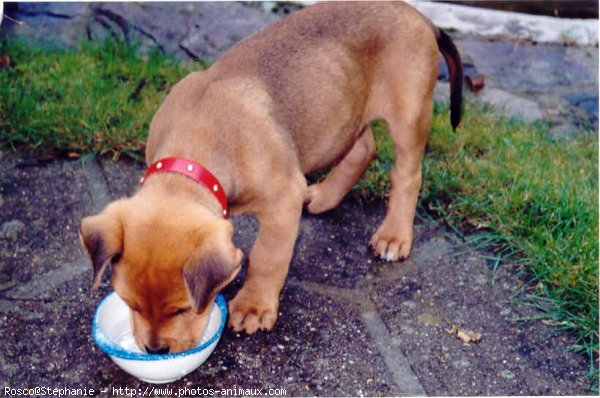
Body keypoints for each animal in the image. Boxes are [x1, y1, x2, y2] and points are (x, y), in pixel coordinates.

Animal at [79, 1, 464, 352]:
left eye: (182, 309)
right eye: (129, 303)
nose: (155, 351)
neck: (194, 150)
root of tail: (420, 17)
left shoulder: (282, 201)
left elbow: (267, 257)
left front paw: (253, 307)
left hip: (409, 116)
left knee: (407, 175)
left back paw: (394, 236)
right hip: (341, 118)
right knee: (364, 147)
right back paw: (324, 197)